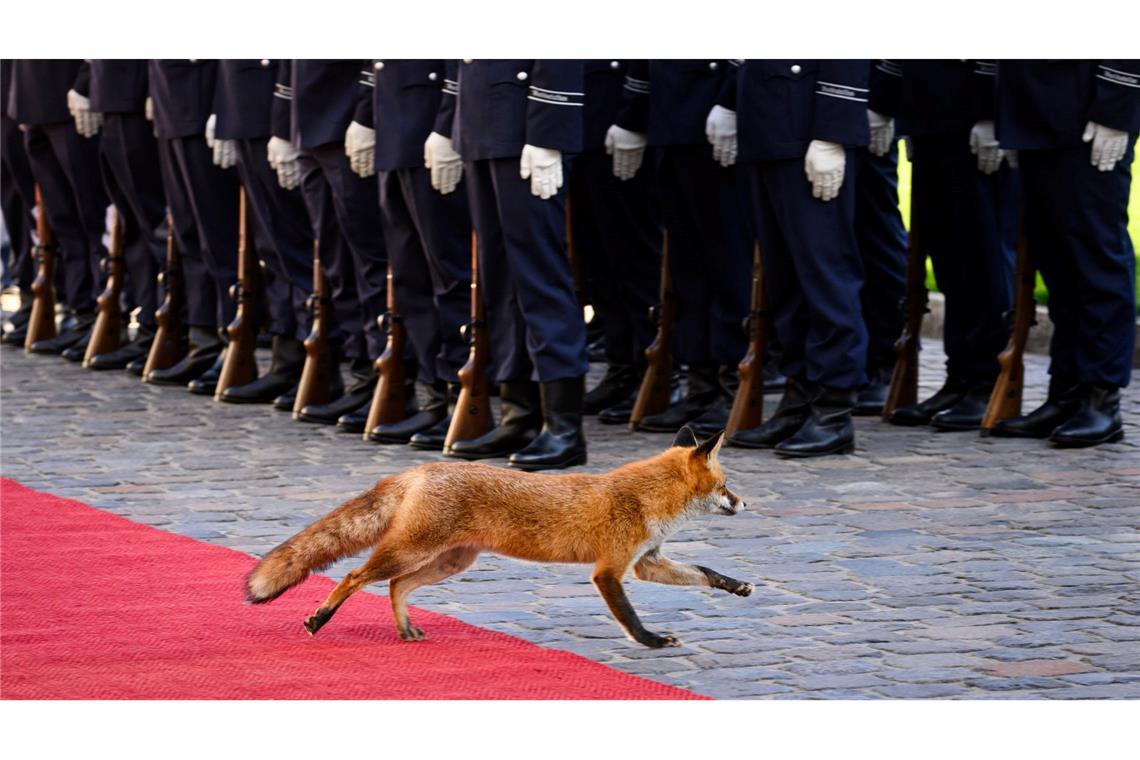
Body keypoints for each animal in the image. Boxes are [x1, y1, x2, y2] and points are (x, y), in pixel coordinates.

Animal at [245, 428, 752, 647]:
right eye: (726, 486)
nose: (745, 504)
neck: (646, 499)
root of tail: (419, 469)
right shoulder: (609, 571)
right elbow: (629, 616)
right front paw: (650, 641)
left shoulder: (647, 562)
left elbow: (704, 571)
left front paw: (736, 586)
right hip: (411, 551)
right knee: (355, 577)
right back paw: (320, 619)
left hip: (450, 562)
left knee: (394, 586)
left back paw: (405, 629)